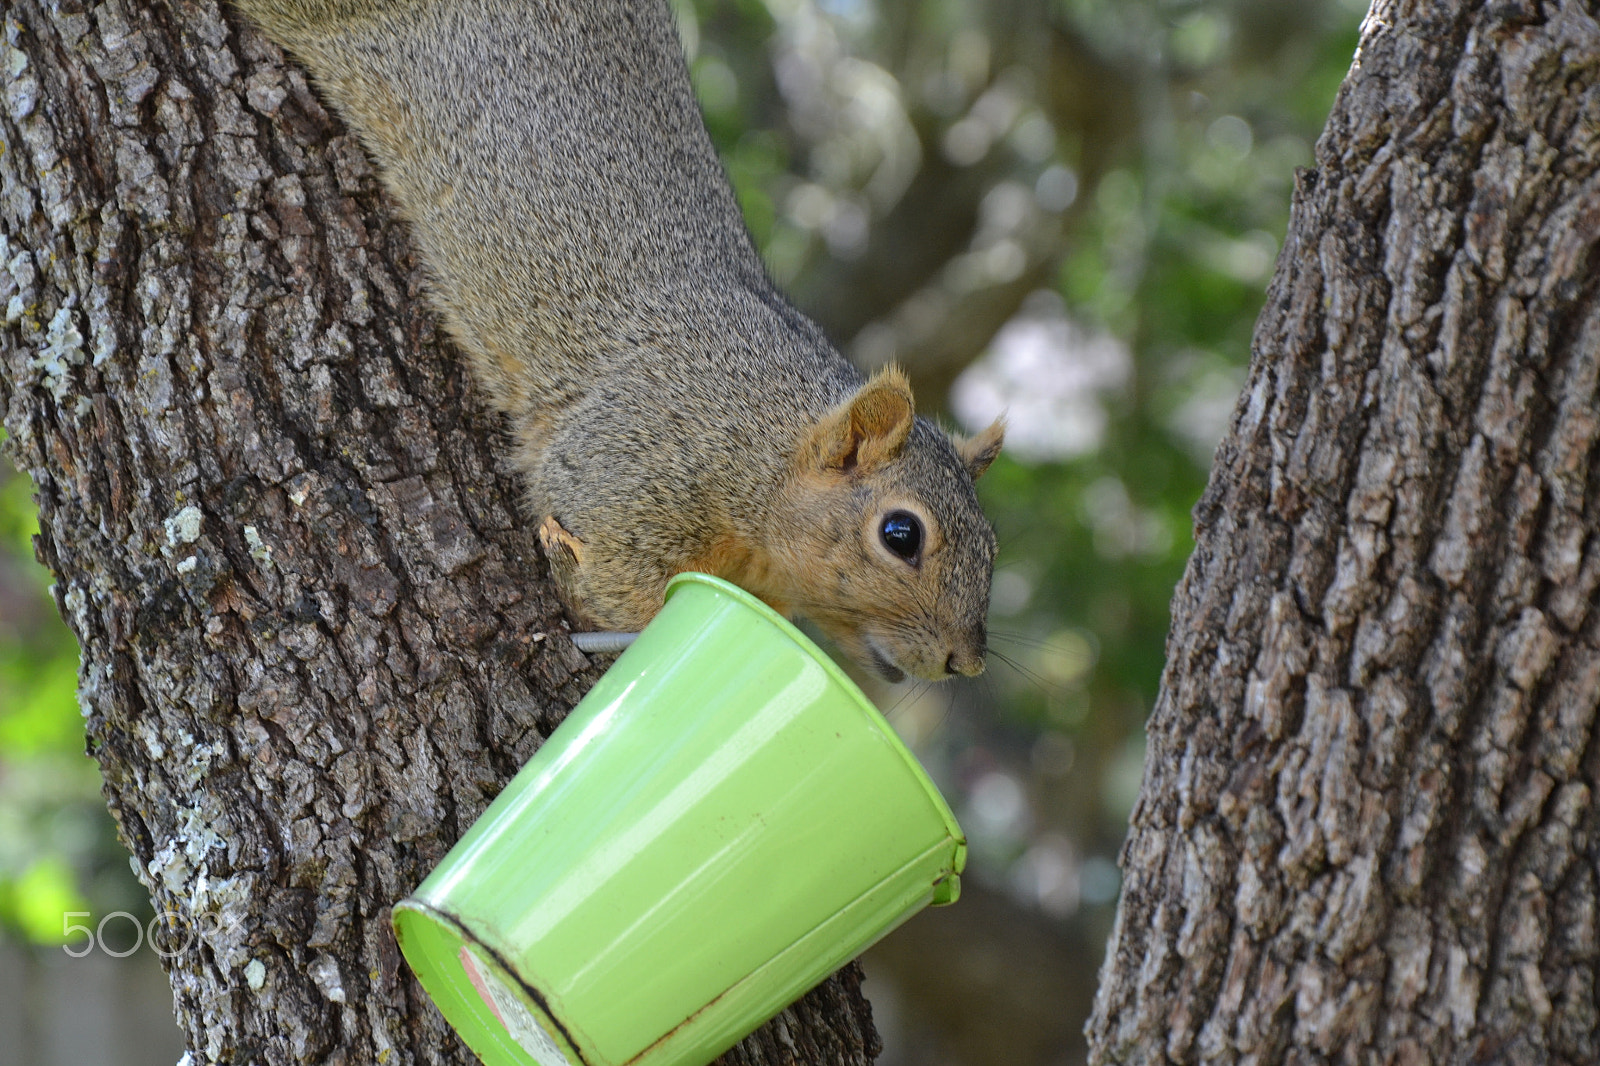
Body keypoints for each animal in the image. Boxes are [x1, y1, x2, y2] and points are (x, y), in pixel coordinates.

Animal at [232, 0, 1005, 682]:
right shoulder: (632, 463)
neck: (765, 439)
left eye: (993, 545)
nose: (964, 664)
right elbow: (609, 571)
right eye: (901, 535)